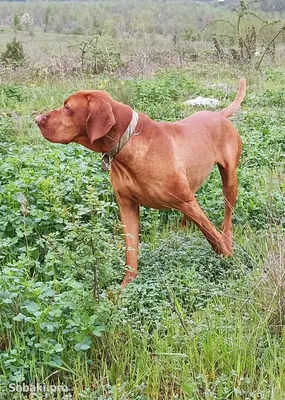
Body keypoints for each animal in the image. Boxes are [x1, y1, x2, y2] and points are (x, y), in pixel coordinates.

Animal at [36, 79, 245, 284]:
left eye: (67, 108)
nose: (37, 119)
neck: (128, 143)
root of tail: (219, 114)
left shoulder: (185, 201)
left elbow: (212, 236)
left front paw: (232, 260)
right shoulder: (127, 207)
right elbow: (131, 255)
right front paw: (124, 288)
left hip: (228, 182)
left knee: (226, 221)